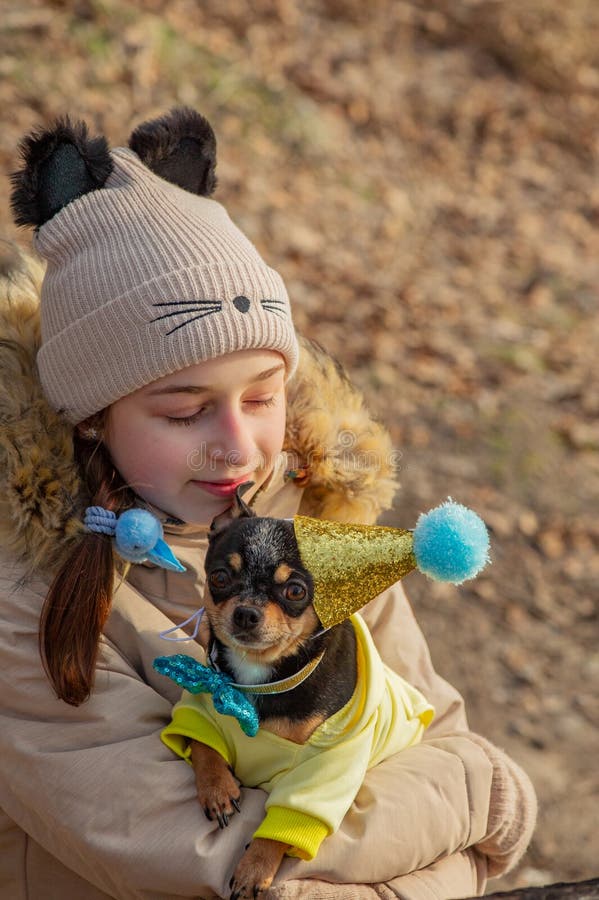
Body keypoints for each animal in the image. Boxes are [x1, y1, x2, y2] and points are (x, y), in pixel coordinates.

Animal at [193, 486, 356, 900]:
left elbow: (285, 822)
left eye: (295, 590)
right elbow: (203, 744)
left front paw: (255, 869)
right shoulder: (203, 698)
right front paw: (217, 789)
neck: (260, 673)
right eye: (219, 577)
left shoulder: (320, 766)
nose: (246, 612)